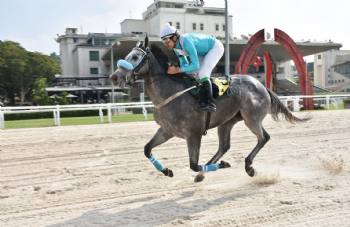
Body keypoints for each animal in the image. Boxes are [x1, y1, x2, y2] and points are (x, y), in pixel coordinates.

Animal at [110, 37, 308, 183]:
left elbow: (193, 164)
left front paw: (223, 165)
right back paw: (204, 174)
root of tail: (261, 85)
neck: (170, 93)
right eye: (127, 55)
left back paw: (248, 166)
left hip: (251, 118)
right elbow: (147, 149)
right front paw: (167, 170)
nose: (114, 77)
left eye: (135, 57)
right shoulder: (167, 130)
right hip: (227, 122)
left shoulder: (194, 134)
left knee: (263, 137)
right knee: (224, 146)